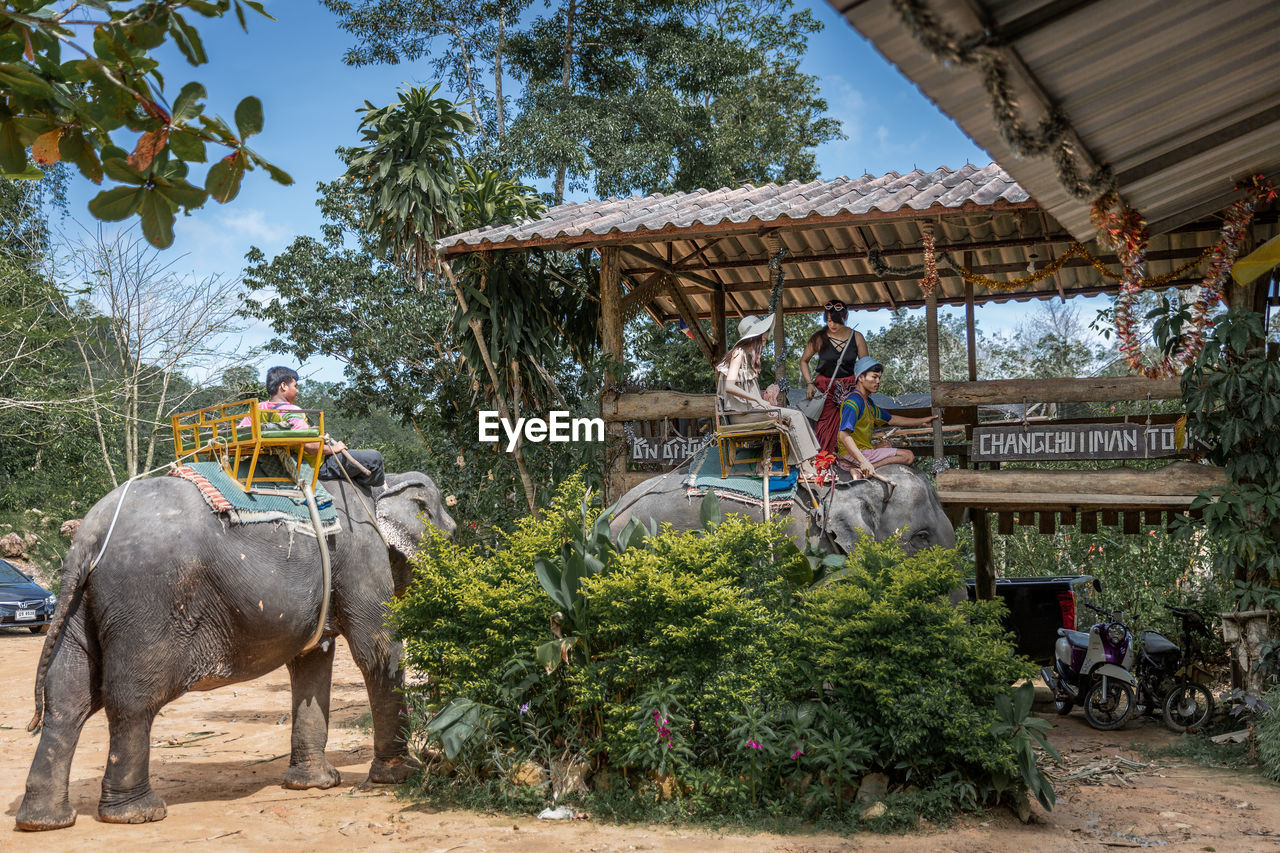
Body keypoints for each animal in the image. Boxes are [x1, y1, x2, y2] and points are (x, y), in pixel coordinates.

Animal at [15, 468, 453, 824]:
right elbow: (378, 651)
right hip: (145, 601)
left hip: (80, 605)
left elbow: (313, 659)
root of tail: (86, 538)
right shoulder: (362, 552)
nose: (436, 756)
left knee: (67, 697)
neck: (380, 484)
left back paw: (44, 821)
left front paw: (313, 784)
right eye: (452, 534)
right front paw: (399, 776)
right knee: (132, 699)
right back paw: (137, 813)